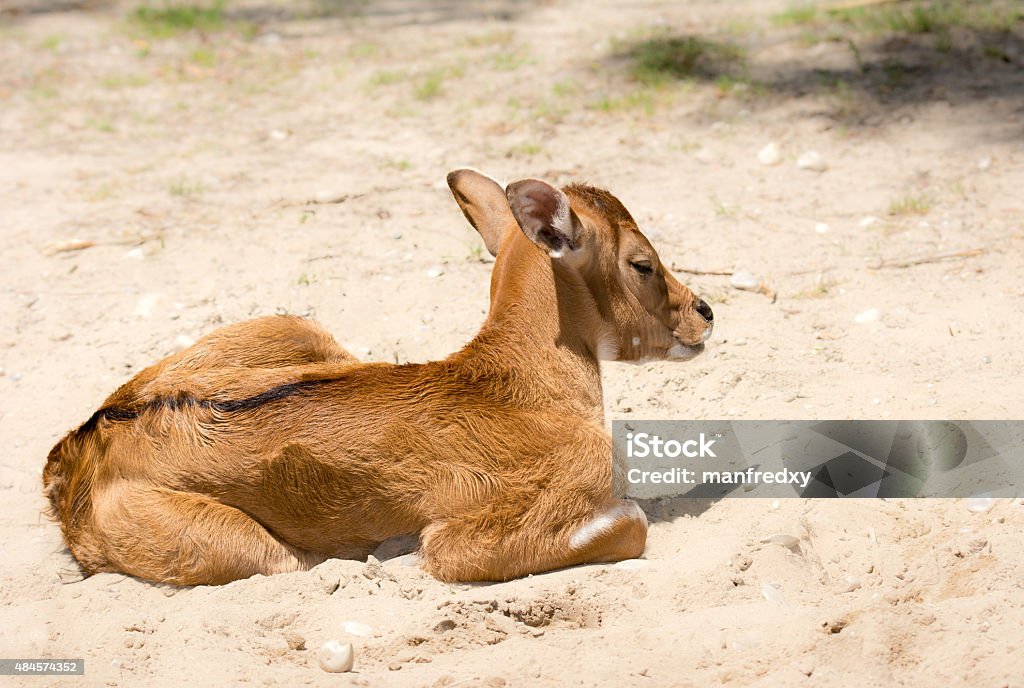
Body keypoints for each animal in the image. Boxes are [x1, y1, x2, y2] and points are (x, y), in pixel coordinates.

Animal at [44, 168, 716, 581]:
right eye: (642, 263)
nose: (704, 313)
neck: (528, 388)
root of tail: (82, 449)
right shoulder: (461, 537)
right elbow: (632, 522)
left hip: (294, 325)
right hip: (243, 547)